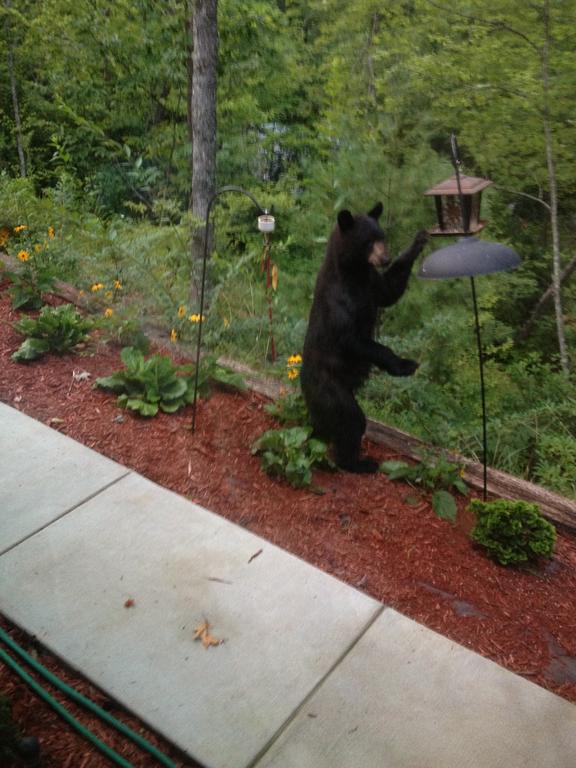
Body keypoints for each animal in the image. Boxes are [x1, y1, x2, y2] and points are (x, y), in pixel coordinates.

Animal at [300, 203, 428, 473]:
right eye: (368, 241)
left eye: (383, 237)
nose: (385, 258)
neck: (354, 273)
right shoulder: (340, 302)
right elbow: (353, 339)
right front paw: (405, 365)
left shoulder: (370, 282)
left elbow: (389, 291)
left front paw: (419, 240)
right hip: (331, 388)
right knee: (350, 420)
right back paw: (358, 462)